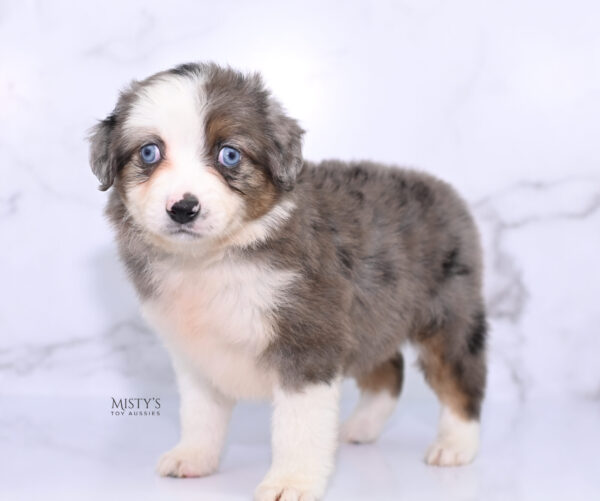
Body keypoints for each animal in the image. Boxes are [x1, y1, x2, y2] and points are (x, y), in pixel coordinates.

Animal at [89, 62, 486, 500]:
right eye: (149, 152)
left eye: (229, 154)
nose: (183, 208)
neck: (213, 258)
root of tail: (441, 188)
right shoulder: (197, 351)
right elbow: (200, 413)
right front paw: (193, 457)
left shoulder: (309, 340)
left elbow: (298, 427)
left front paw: (291, 482)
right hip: (374, 314)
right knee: (388, 368)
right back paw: (361, 428)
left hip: (447, 314)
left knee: (459, 378)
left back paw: (455, 445)